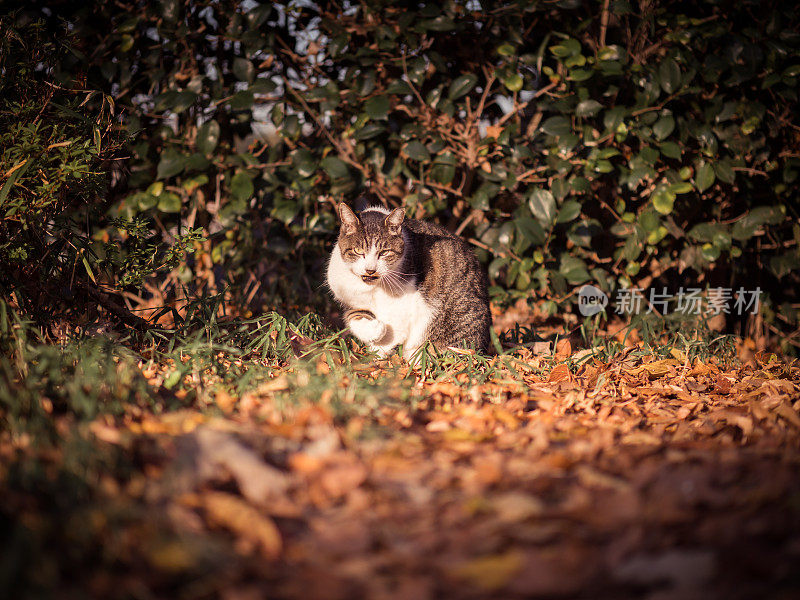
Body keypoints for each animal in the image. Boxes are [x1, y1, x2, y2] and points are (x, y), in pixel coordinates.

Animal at [326, 204, 490, 358]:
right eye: (358, 251)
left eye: (384, 252)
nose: (370, 270)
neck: (370, 288)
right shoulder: (351, 299)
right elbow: (353, 316)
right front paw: (375, 332)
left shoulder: (405, 305)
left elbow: (393, 333)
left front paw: (378, 356)